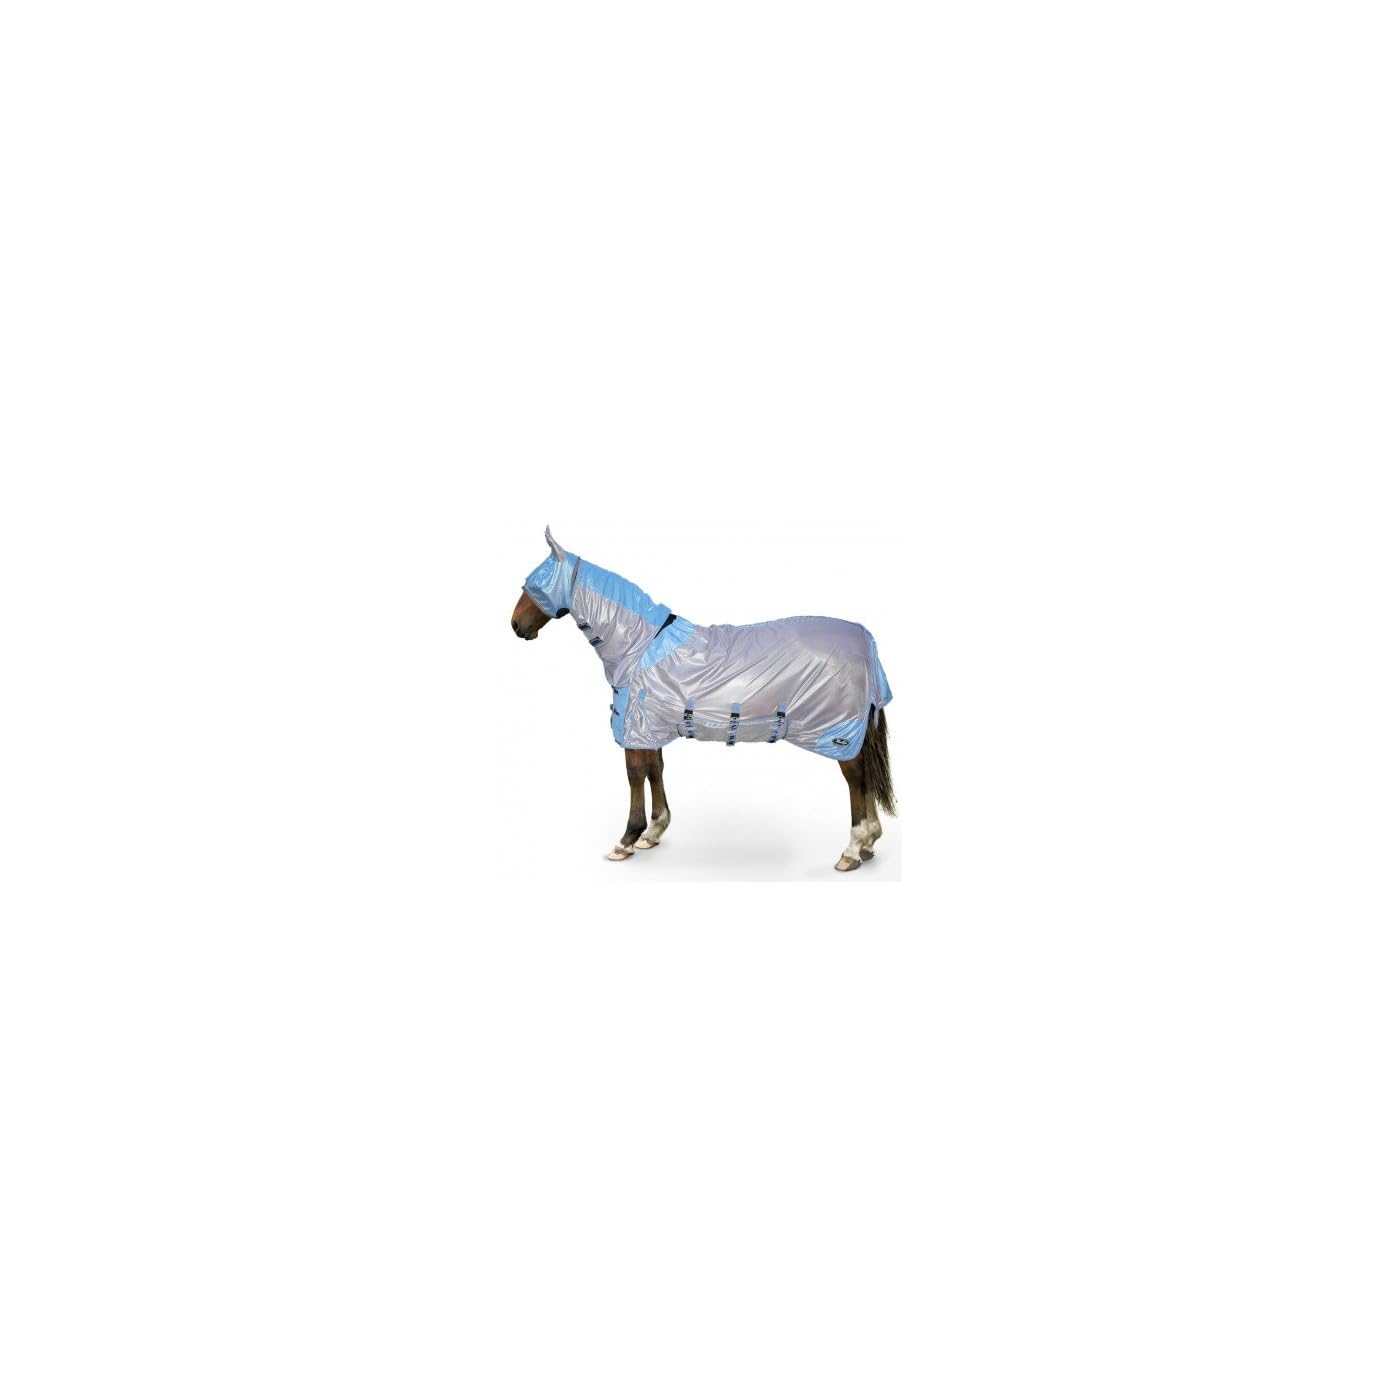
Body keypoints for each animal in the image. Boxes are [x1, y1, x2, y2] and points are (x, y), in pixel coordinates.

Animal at [510, 527, 896, 872]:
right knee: (866, 775)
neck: (640, 645)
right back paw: (869, 843)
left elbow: (635, 775)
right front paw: (653, 832)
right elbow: (655, 769)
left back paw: (852, 849)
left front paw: (626, 840)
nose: (516, 625)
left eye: (535, 583)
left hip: (837, 733)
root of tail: (865, 640)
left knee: (856, 779)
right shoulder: (650, 728)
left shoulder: (634, 728)